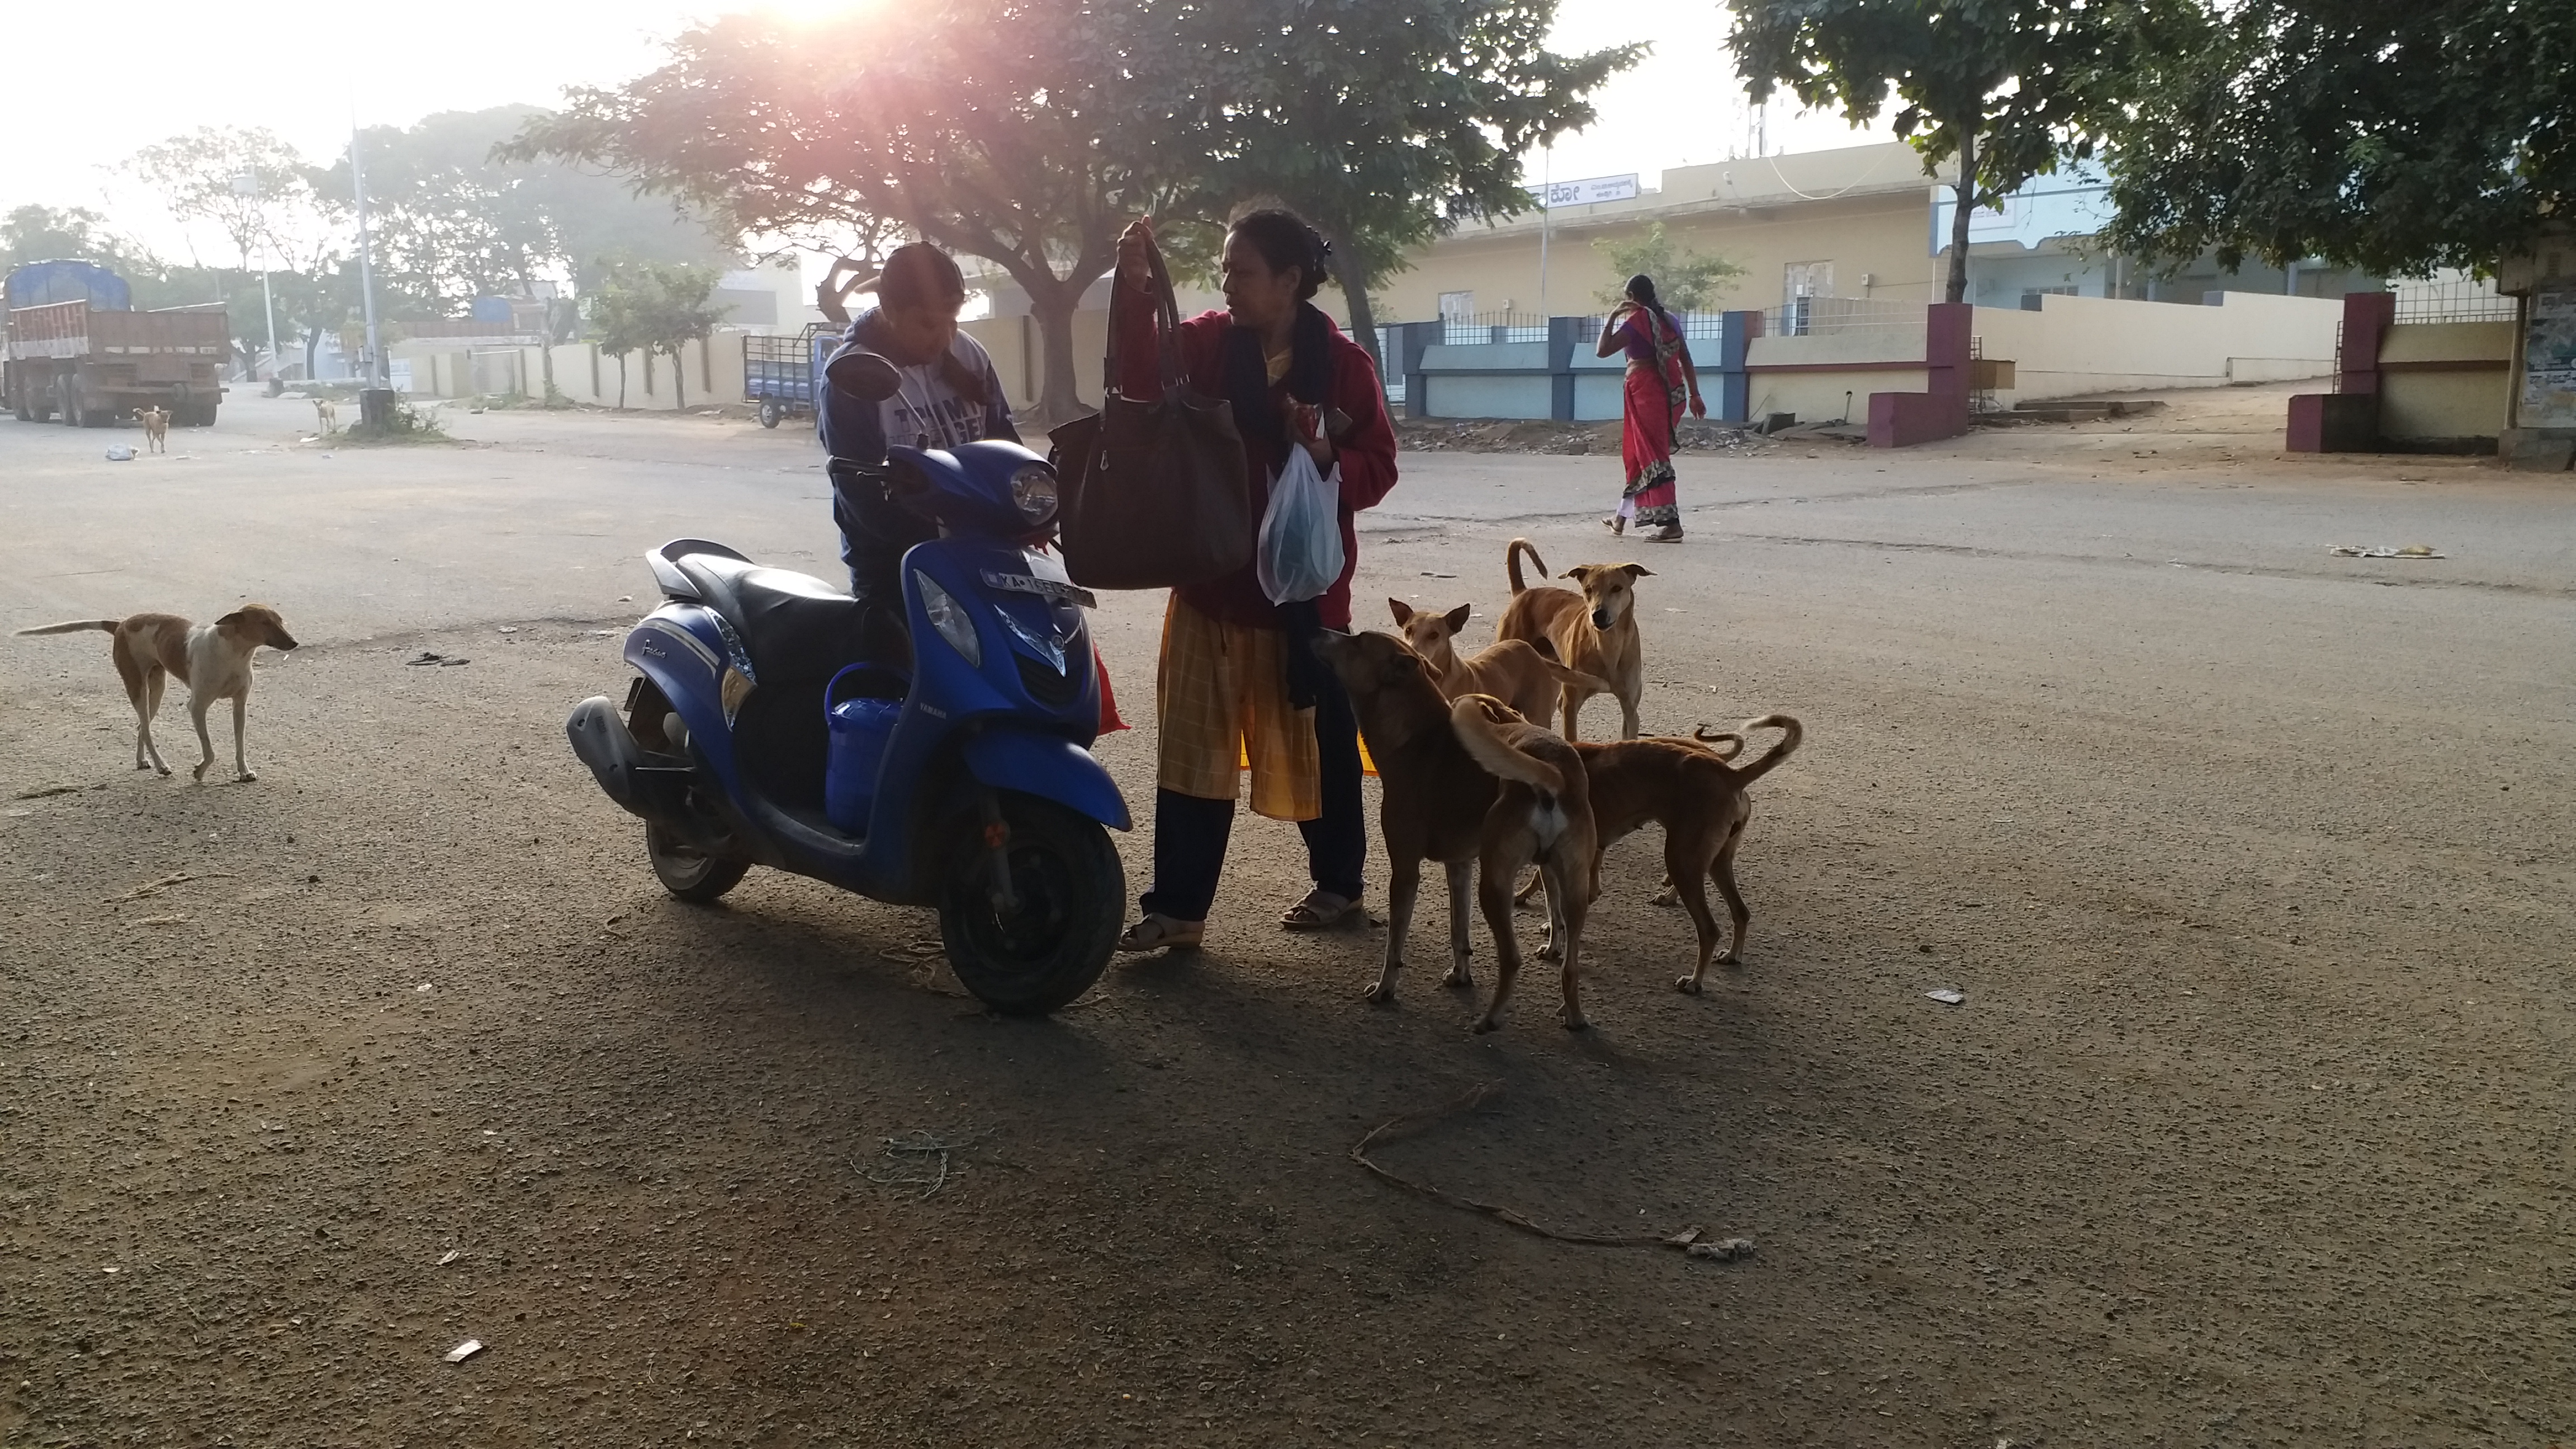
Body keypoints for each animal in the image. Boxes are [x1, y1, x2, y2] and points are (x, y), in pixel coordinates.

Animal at [17, 600, 300, 778]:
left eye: (280, 621)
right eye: (264, 622)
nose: (295, 643)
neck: (234, 653)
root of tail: (121, 624)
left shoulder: (239, 705)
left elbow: (239, 744)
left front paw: (244, 771)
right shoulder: (197, 708)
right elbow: (210, 751)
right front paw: (199, 771)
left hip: (157, 689)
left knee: (142, 727)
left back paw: (143, 761)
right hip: (137, 687)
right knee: (146, 728)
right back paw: (161, 765)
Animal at [1319, 629, 1597, 1026]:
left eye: (1357, 642)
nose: (1318, 631)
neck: (1415, 734)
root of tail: (1554, 772)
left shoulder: (1405, 869)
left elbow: (1395, 942)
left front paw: (1385, 988)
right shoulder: (1460, 864)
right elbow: (1458, 928)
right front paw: (1461, 974)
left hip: (1496, 883)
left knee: (1512, 957)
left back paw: (1490, 1021)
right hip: (1568, 880)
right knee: (1569, 957)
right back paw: (1572, 1015)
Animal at [1494, 538, 1649, 737]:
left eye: (1617, 588)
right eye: (1588, 589)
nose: (1598, 614)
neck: (1607, 645)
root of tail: (1523, 593)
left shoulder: (1630, 708)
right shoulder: (1571, 704)